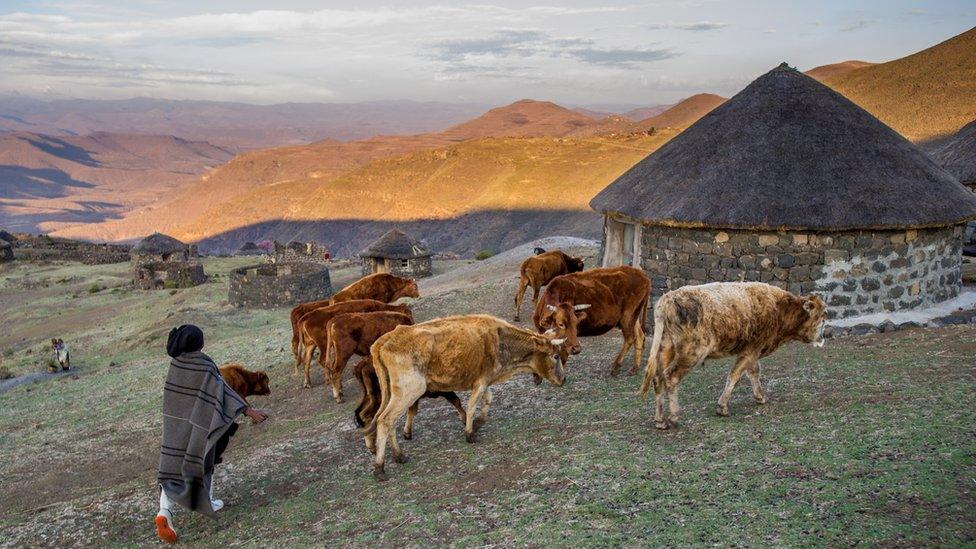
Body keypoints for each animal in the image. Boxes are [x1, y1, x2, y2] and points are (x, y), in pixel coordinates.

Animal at [364, 316, 564, 480]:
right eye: (555, 355)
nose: (563, 379)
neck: (499, 338)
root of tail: (382, 341)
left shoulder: (483, 381)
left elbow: (488, 398)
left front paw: (479, 422)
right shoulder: (481, 381)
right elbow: (472, 405)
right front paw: (470, 433)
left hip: (395, 394)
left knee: (387, 420)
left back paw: (399, 456)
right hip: (410, 390)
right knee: (385, 420)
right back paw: (379, 468)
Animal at [636, 282, 828, 428]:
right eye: (821, 317)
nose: (822, 338)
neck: (781, 309)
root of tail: (667, 299)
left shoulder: (752, 351)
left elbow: (753, 372)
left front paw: (760, 396)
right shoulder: (751, 349)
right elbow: (735, 375)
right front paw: (722, 406)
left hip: (666, 349)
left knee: (658, 379)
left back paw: (660, 420)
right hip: (692, 352)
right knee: (670, 376)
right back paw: (674, 415)